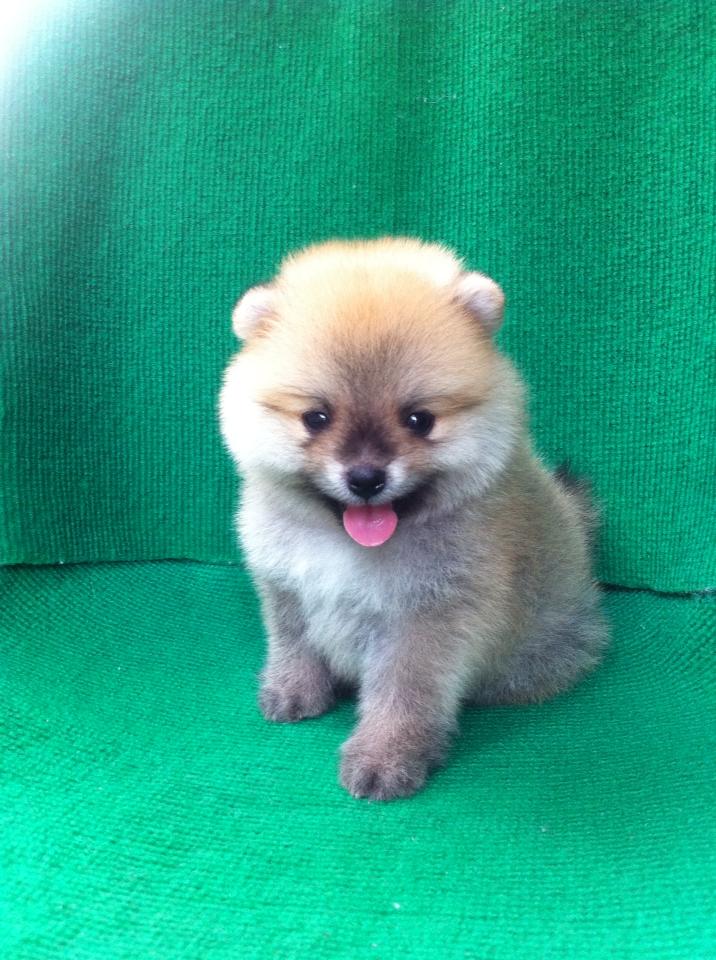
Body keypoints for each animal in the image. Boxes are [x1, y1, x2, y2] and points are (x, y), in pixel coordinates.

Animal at [219, 237, 607, 800]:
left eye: (419, 420)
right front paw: (295, 691)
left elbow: (404, 693)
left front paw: (387, 757)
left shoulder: (425, 621)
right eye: (316, 418)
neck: (344, 546)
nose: (365, 477)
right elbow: (295, 645)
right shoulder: (285, 586)